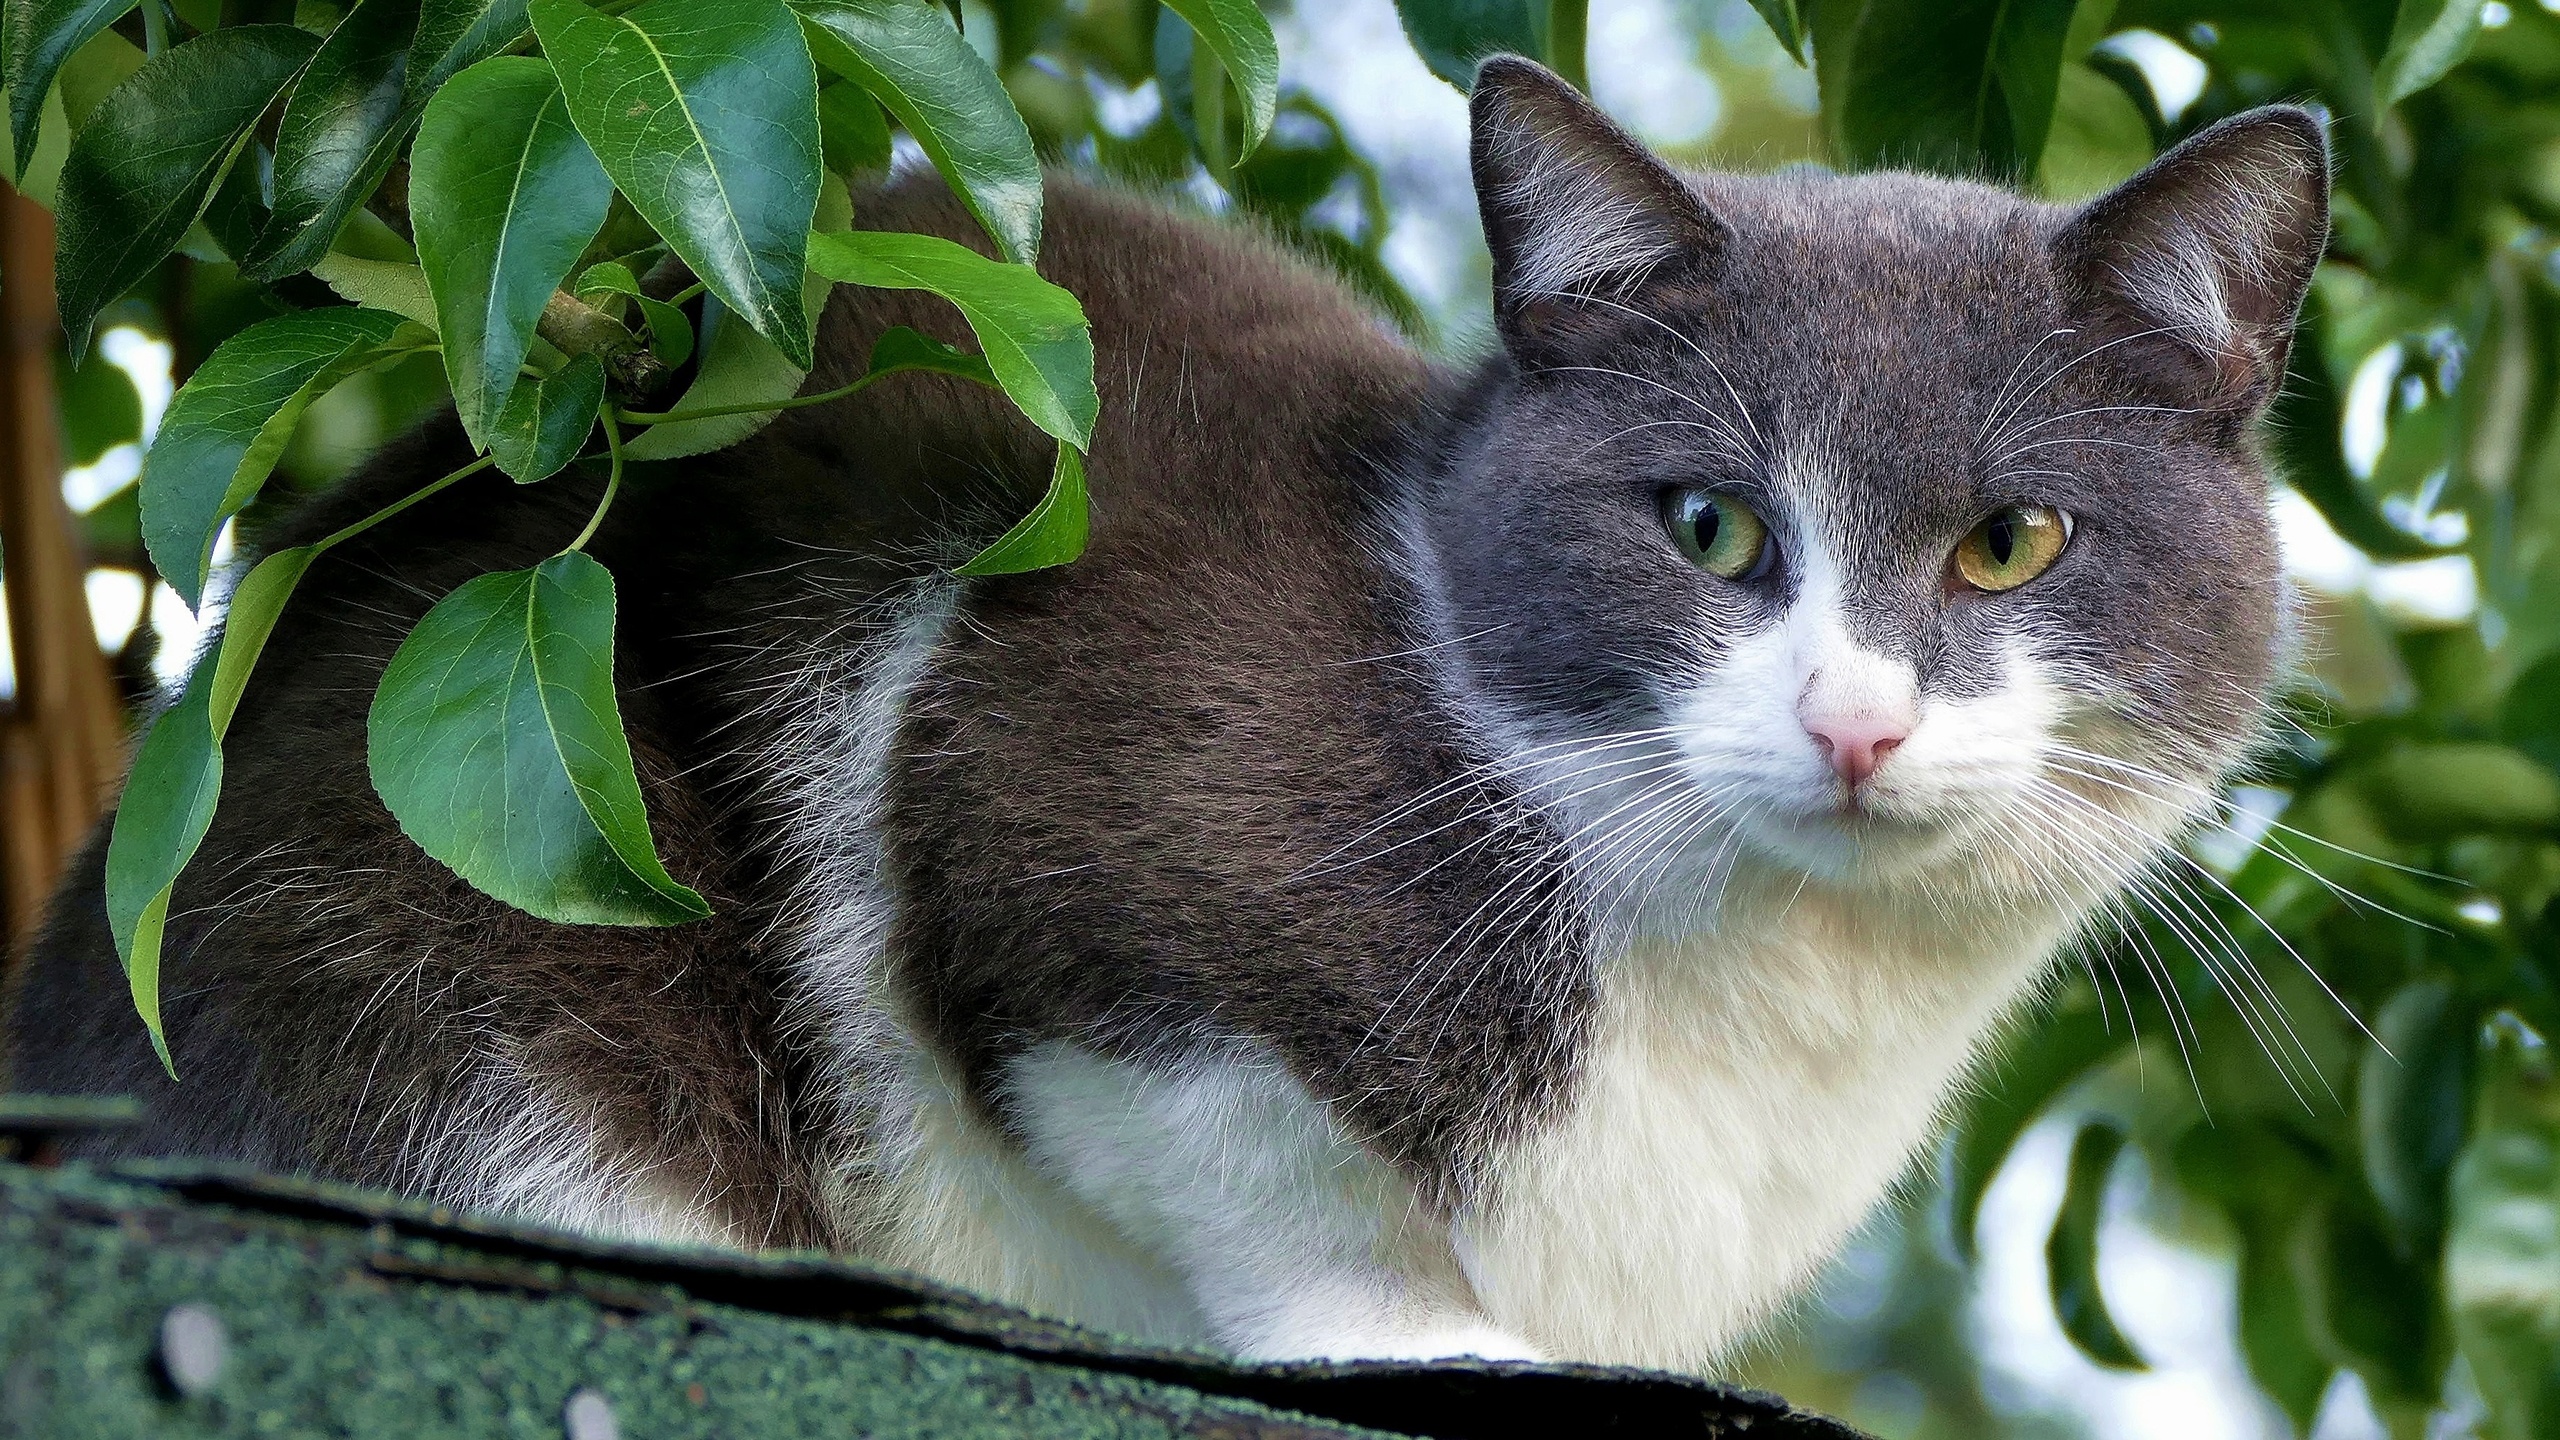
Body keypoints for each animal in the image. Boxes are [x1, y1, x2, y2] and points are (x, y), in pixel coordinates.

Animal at [0, 58, 2334, 1363]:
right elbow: (1239, 1148)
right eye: (1706, 527)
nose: (1854, 724)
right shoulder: (1037, 797)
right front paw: (1427, 1340)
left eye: (2010, 544)